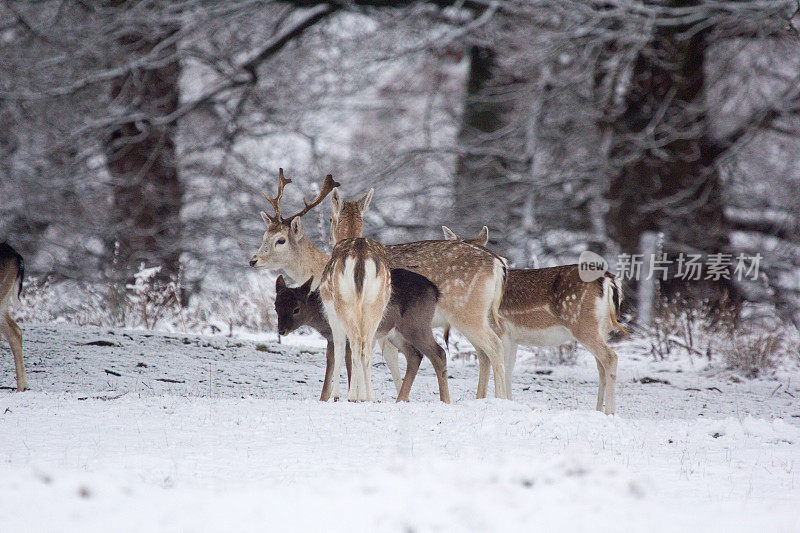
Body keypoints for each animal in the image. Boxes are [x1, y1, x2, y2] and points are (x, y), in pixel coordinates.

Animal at [438, 227, 624, 414]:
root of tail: (610, 281)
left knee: (610, 357)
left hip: (584, 325)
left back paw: (610, 411)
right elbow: (508, 367)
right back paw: (598, 410)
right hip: (602, 329)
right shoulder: (512, 338)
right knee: (601, 367)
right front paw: (509, 401)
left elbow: (503, 365)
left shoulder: (501, 330)